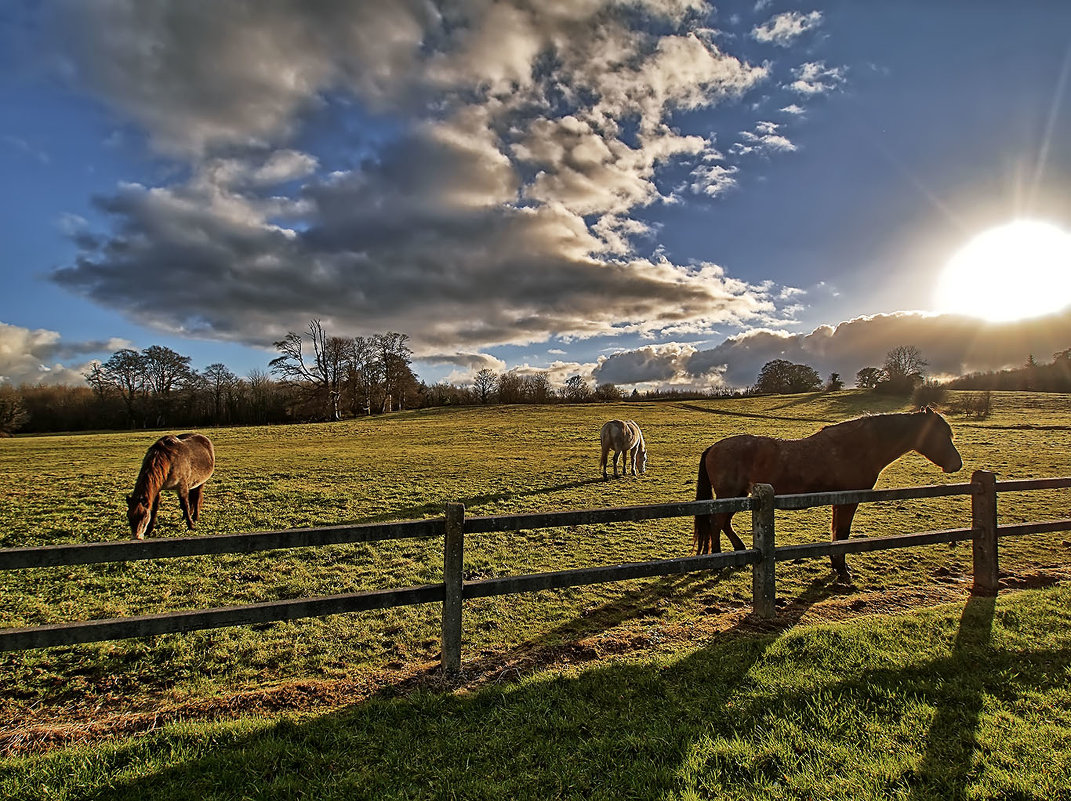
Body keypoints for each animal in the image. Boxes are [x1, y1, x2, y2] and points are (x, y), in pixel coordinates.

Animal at [694, 409, 963, 578]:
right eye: (941, 434)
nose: (956, 464)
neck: (858, 447)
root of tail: (714, 447)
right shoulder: (848, 500)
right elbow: (842, 533)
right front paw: (842, 570)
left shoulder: (838, 500)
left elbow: (836, 532)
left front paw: (837, 565)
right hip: (730, 494)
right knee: (716, 523)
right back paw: (717, 563)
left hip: (740, 495)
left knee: (723, 523)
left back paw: (738, 552)